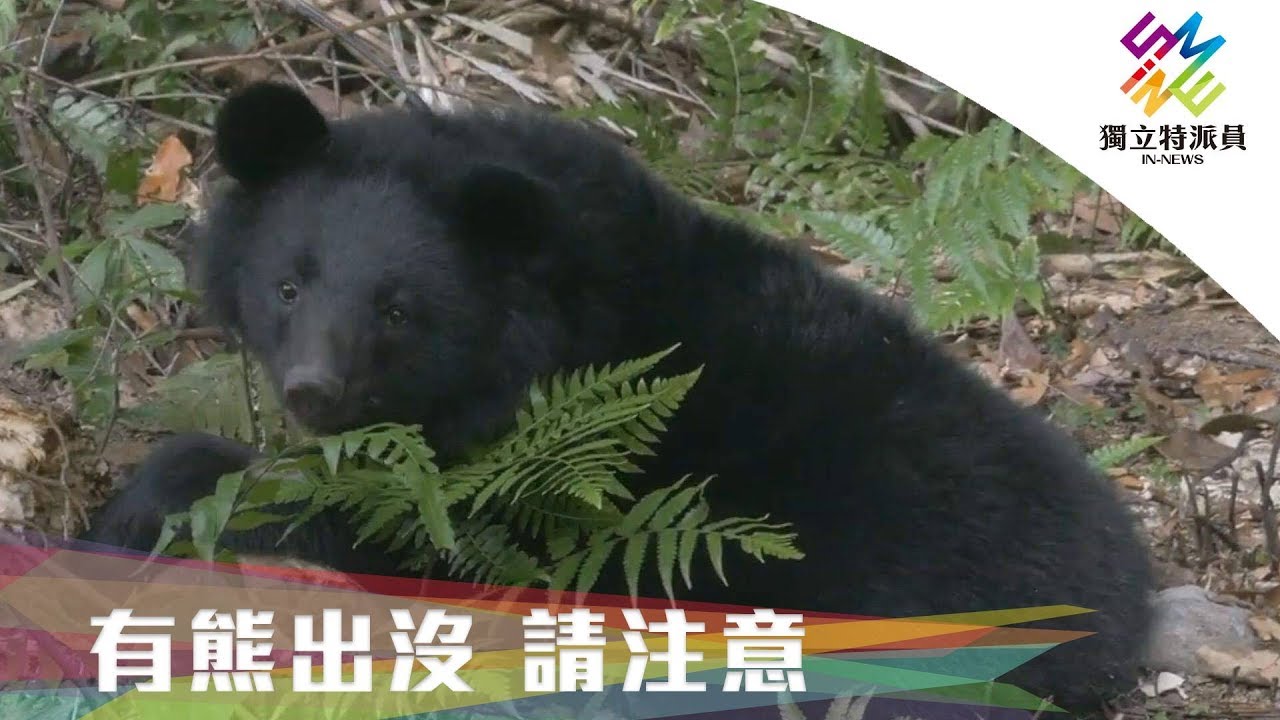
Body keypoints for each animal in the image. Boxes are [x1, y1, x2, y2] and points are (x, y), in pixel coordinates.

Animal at [83, 81, 1153, 716]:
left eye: (397, 309)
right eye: (288, 286)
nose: (314, 392)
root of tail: (1122, 604)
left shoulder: (533, 490)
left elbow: (409, 540)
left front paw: (159, 502)